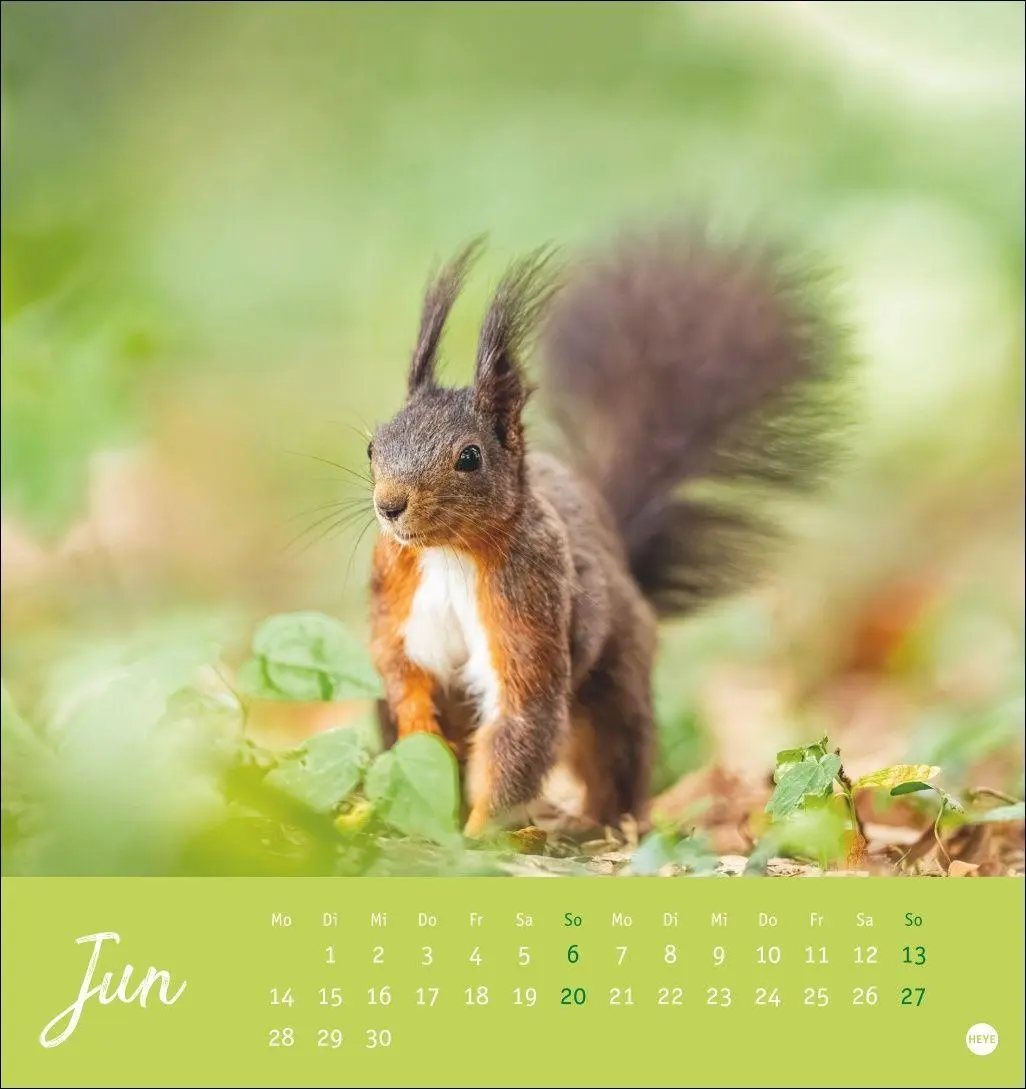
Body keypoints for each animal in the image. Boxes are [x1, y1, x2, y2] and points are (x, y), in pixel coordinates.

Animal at [367, 227, 847, 838]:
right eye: (373, 446)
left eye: (469, 457)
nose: (389, 506)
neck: (448, 553)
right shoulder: (395, 586)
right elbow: (398, 665)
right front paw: (421, 741)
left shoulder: (530, 599)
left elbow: (522, 714)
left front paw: (477, 834)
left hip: (616, 683)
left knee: (614, 750)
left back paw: (602, 824)